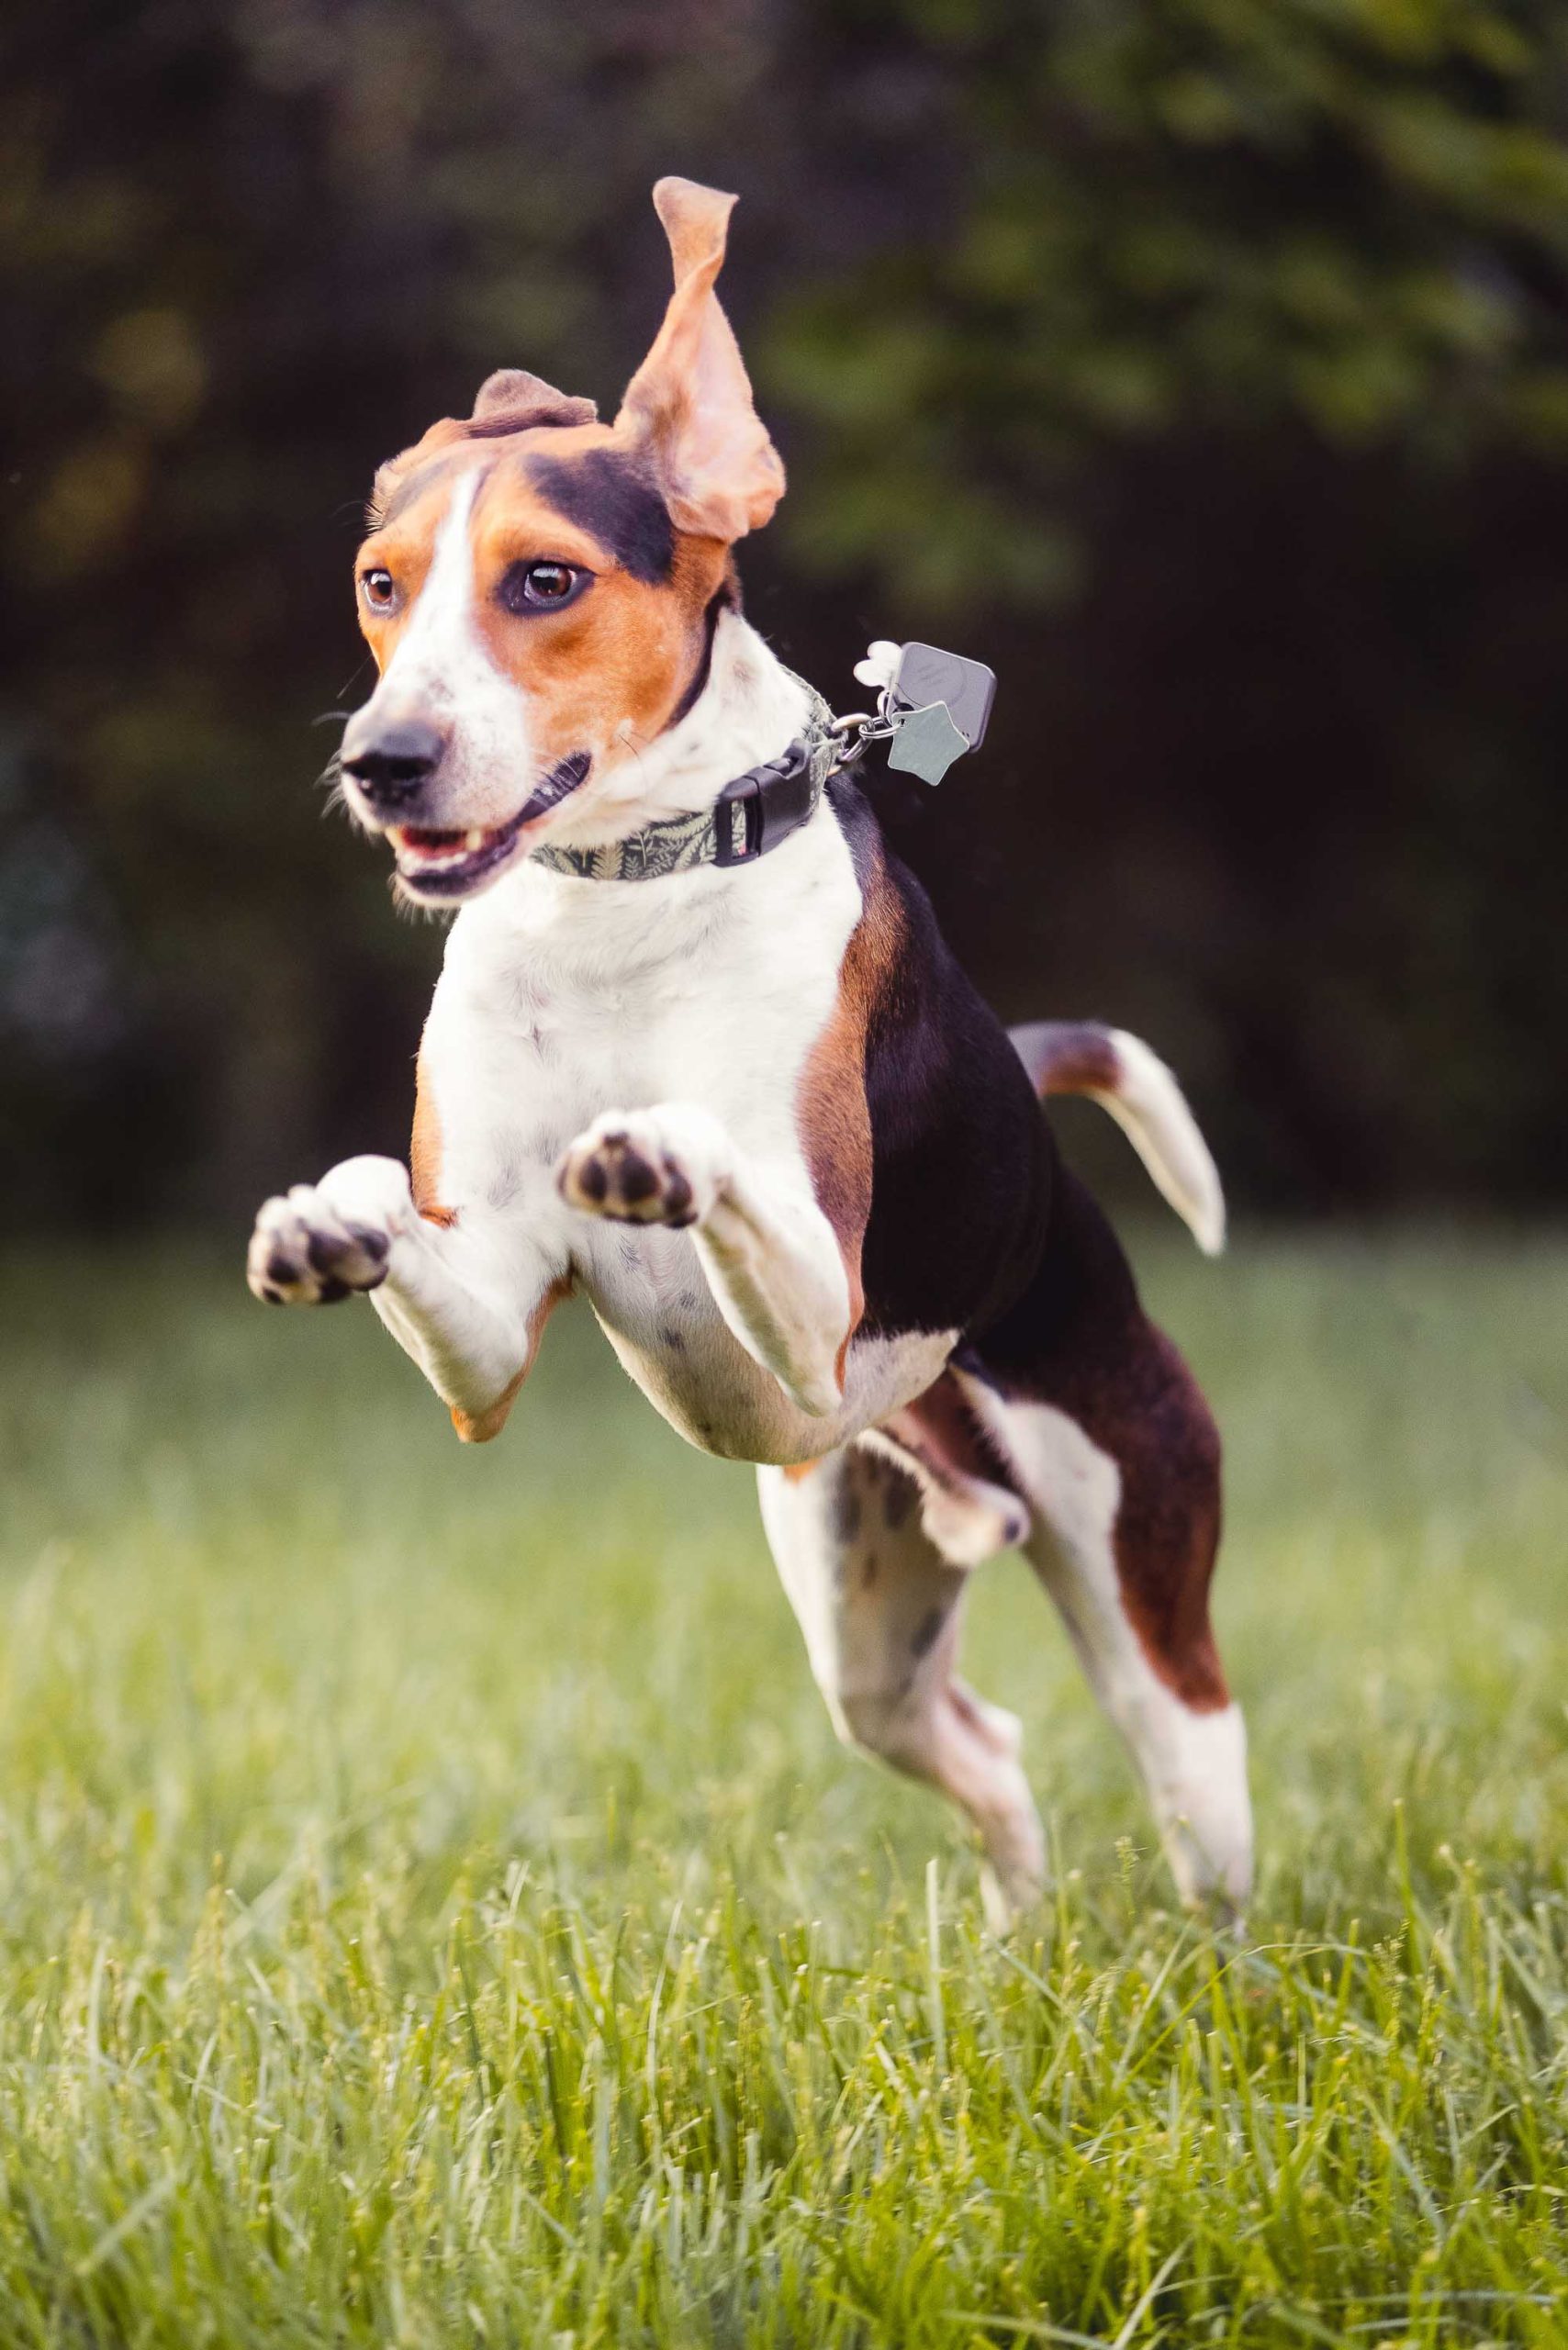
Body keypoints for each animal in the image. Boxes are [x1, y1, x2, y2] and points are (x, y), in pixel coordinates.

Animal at [248, 178, 1250, 1908]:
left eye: (544, 582)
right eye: (380, 584)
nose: (385, 761)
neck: (619, 894)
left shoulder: (820, 1309)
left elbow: (722, 1164)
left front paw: (658, 1146)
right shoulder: (489, 1343)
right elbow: (421, 1251)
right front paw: (332, 1219)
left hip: (1144, 1596)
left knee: (1190, 1780)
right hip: (862, 1610)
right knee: (986, 1748)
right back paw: (1010, 1937)